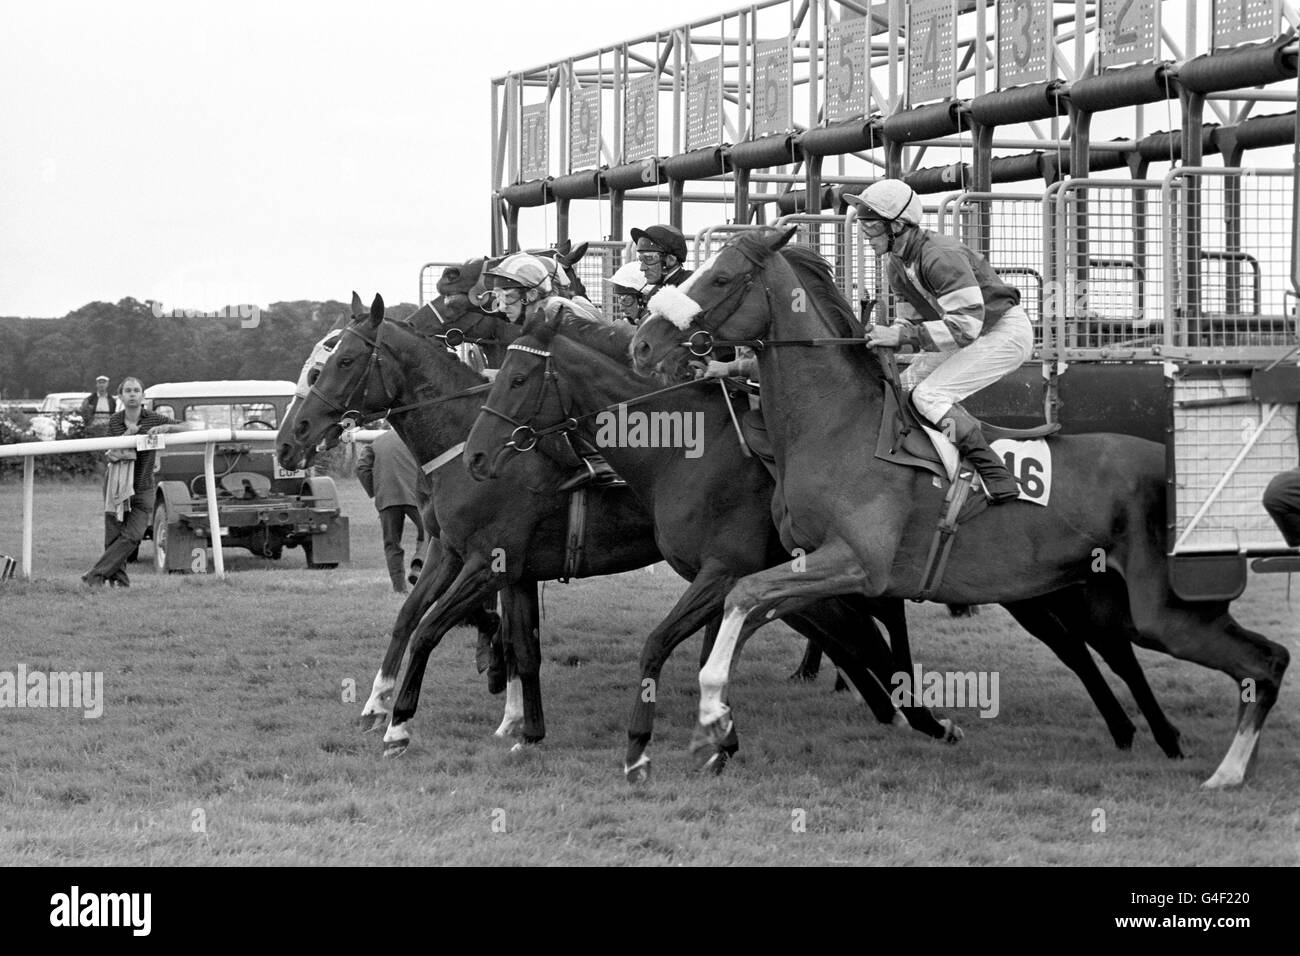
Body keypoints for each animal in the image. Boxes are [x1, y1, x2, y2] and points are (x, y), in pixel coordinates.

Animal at [631, 230, 1289, 785]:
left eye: (719, 277)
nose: (641, 342)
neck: (836, 424)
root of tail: (1177, 470)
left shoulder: (857, 562)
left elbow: (744, 597)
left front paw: (710, 718)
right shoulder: (811, 567)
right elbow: (749, 612)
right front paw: (715, 725)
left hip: (1158, 608)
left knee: (1264, 661)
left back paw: (1225, 772)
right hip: (1111, 601)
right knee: (1223, 657)